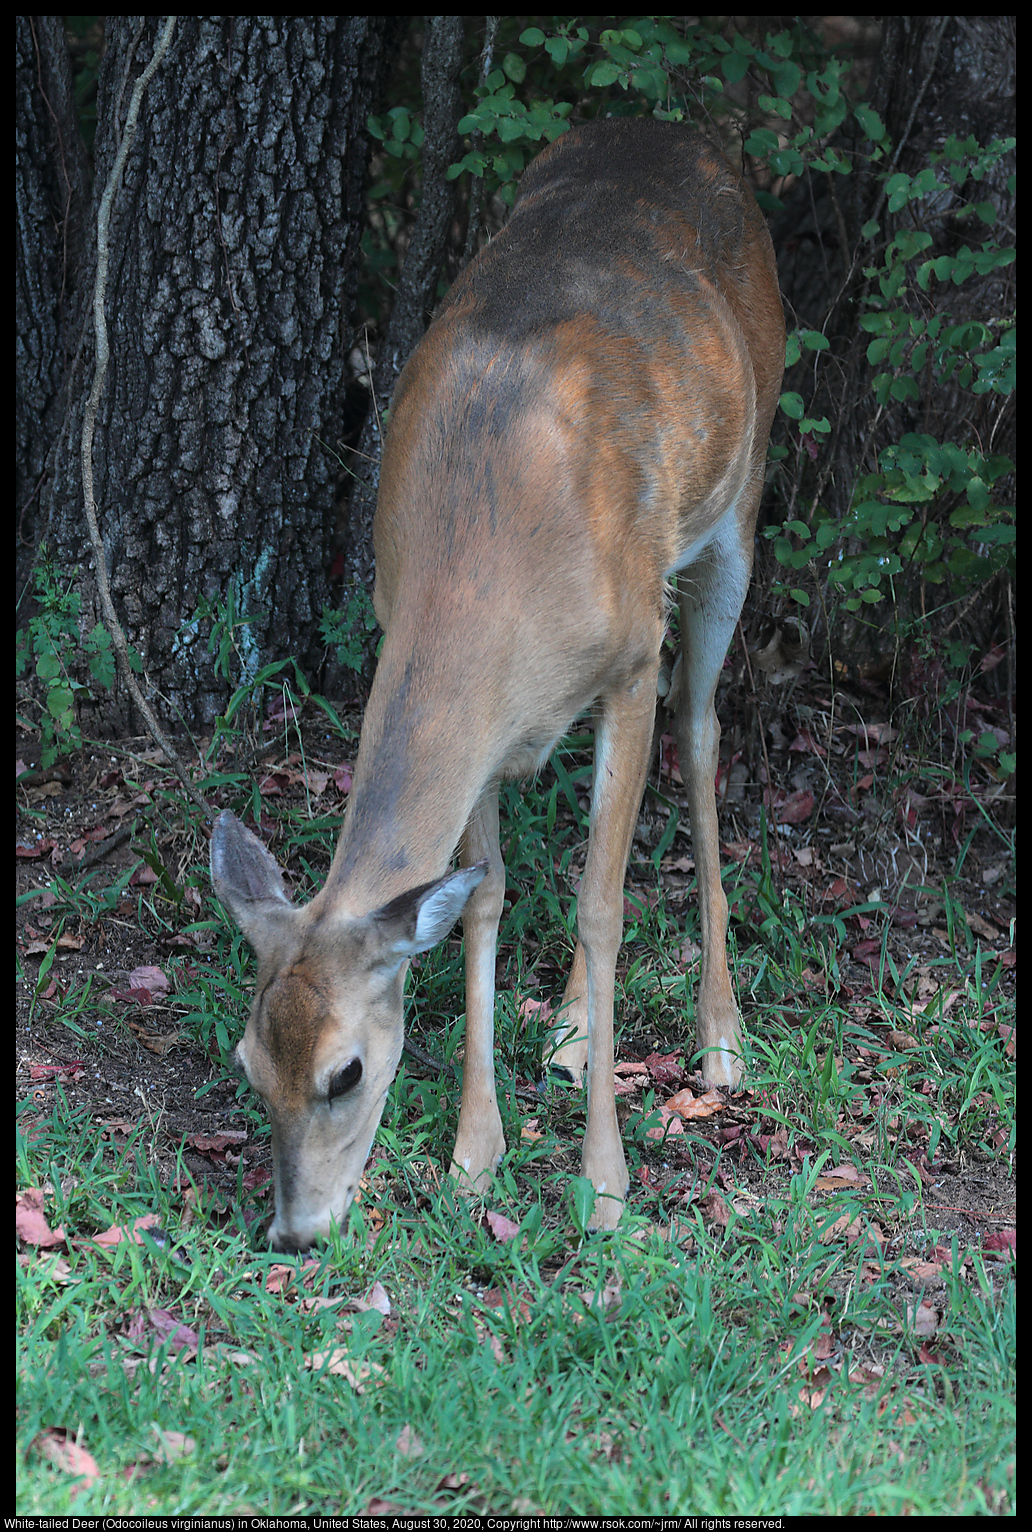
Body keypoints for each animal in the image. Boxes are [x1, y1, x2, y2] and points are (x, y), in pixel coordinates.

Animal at [208, 116, 780, 1243]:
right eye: (250, 1064)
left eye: (345, 1072)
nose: (295, 1232)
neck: (485, 567)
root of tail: (689, 133)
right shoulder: (464, 703)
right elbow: (482, 900)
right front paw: (476, 1156)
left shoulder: (630, 653)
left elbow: (602, 906)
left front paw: (605, 1187)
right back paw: (566, 1031)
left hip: (737, 510)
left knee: (701, 733)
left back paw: (722, 1038)